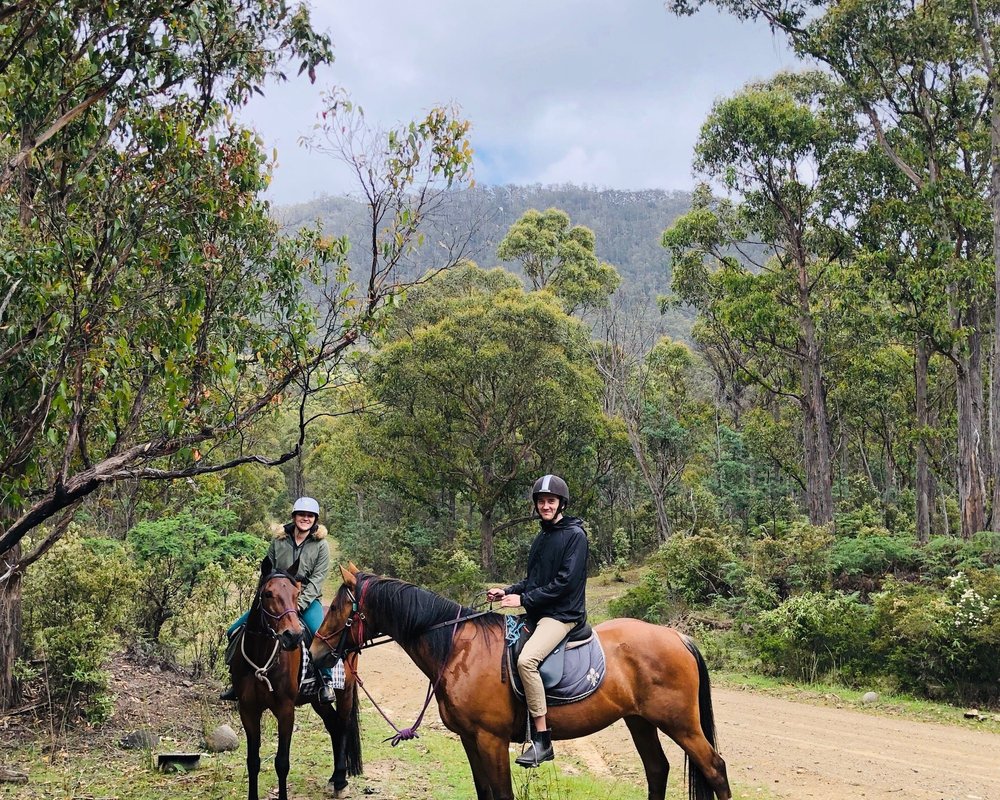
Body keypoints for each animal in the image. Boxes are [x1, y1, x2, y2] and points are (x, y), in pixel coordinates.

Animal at [230, 556, 364, 800]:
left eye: (296, 593)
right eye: (268, 594)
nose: (292, 636)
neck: (262, 656)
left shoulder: (285, 710)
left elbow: (282, 763)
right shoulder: (248, 710)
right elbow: (252, 761)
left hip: (345, 691)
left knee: (342, 727)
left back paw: (340, 781)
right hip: (317, 700)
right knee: (333, 726)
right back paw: (334, 778)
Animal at [312, 564, 736, 800]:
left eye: (339, 608)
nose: (315, 651)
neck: (457, 648)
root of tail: (677, 637)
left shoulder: (491, 739)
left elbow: (501, 794)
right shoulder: (470, 739)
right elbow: (484, 793)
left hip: (679, 722)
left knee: (715, 768)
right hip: (640, 721)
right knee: (657, 770)